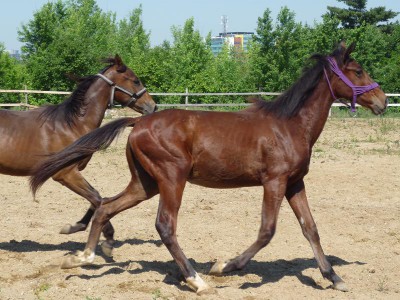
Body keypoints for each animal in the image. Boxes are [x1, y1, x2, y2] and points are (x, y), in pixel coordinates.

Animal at [0, 54, 156, 240]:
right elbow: (97, 198)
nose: (153, 106)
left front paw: (75, 226)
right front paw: (106, 234)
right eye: (135, 81)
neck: (71, 124)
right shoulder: (65, 173)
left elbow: (98, 198)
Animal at [31, 43, 388, 294]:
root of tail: (138, 121)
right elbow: (267, 230)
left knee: (106, 205)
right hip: (171, 178)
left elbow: (310, 228)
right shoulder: (274, 181)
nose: (383, 102)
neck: (289, 126)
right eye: (358, 71)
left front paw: (334, 277)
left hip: (145, 183)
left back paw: (82, 257)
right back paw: (196, 280)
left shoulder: (294, 183)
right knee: (164, 225)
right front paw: (225, 266)